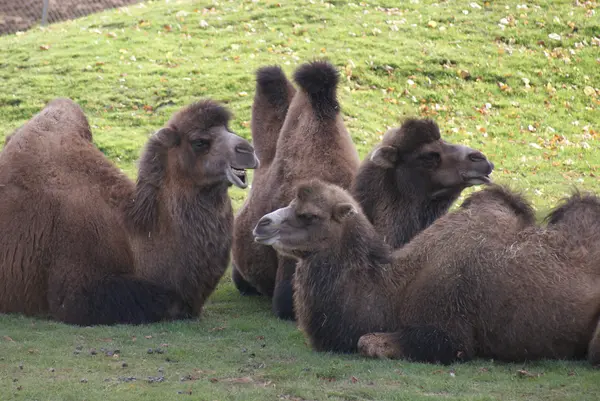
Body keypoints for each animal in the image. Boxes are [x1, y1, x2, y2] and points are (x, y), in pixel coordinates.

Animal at [0, 97, 258, 324]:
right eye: (199, 142)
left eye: (228, 129)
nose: (248, 151)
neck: (134, 234)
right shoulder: (76, 286)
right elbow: (168, 301)